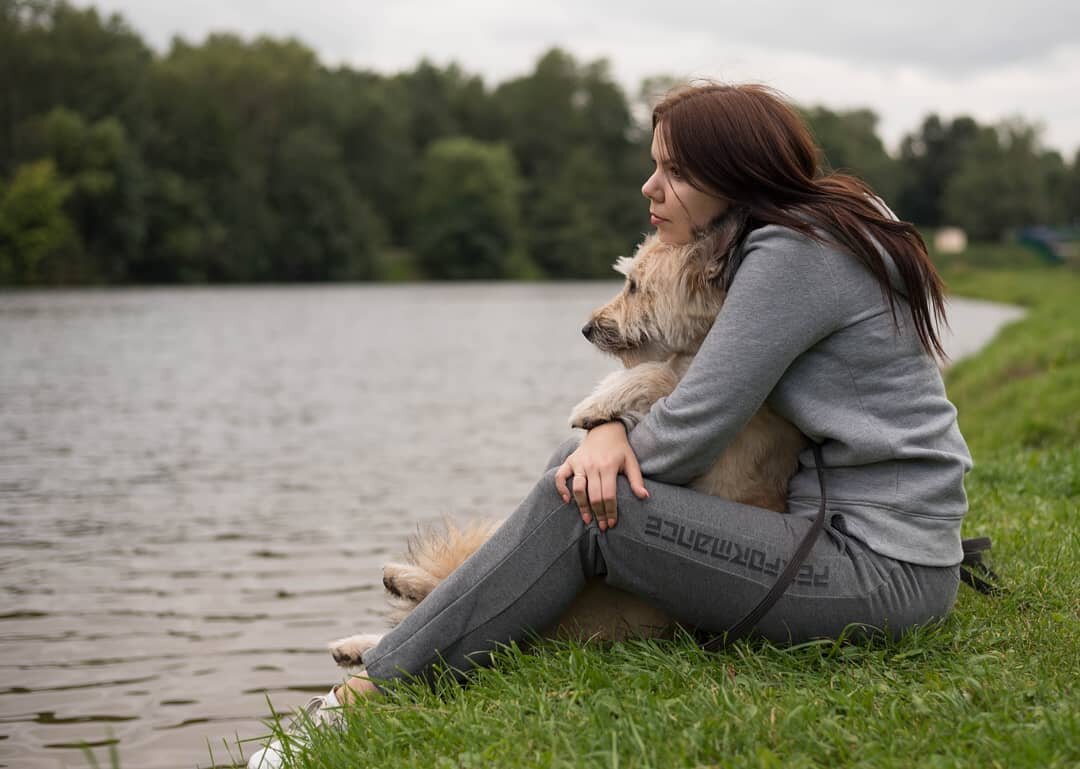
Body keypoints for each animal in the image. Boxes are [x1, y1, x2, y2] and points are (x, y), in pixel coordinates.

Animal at [328, 216, 812, 665]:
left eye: (633, 285)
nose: (586, 328)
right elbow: (657, 371)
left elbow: (659, 374)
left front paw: (597, 404)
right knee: (447, 594)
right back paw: (372, 617)